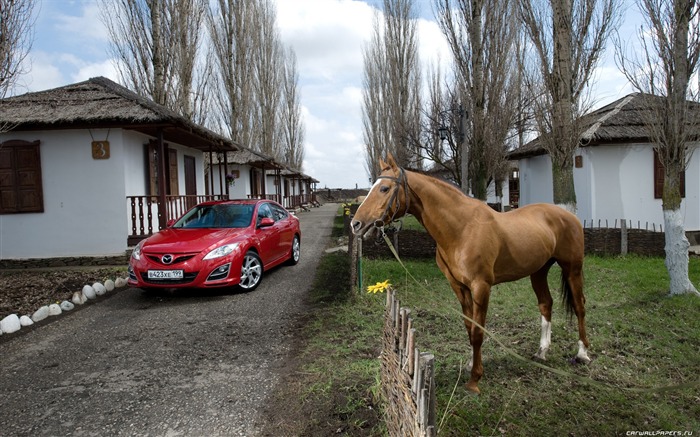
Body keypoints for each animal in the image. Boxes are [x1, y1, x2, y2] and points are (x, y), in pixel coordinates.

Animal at [350, 155, 592, 394]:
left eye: (384, 188)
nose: (356, 224)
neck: (463, 229)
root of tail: (568, 215)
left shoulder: (481, 286)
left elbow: (477, 331)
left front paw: (475, 379)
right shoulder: (459, 286)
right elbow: (469, 326)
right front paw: (470, 365)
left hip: (572, 268)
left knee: (579, 305)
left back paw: (582, 354)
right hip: (539, 271)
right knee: (545, 304)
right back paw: (542, 351)